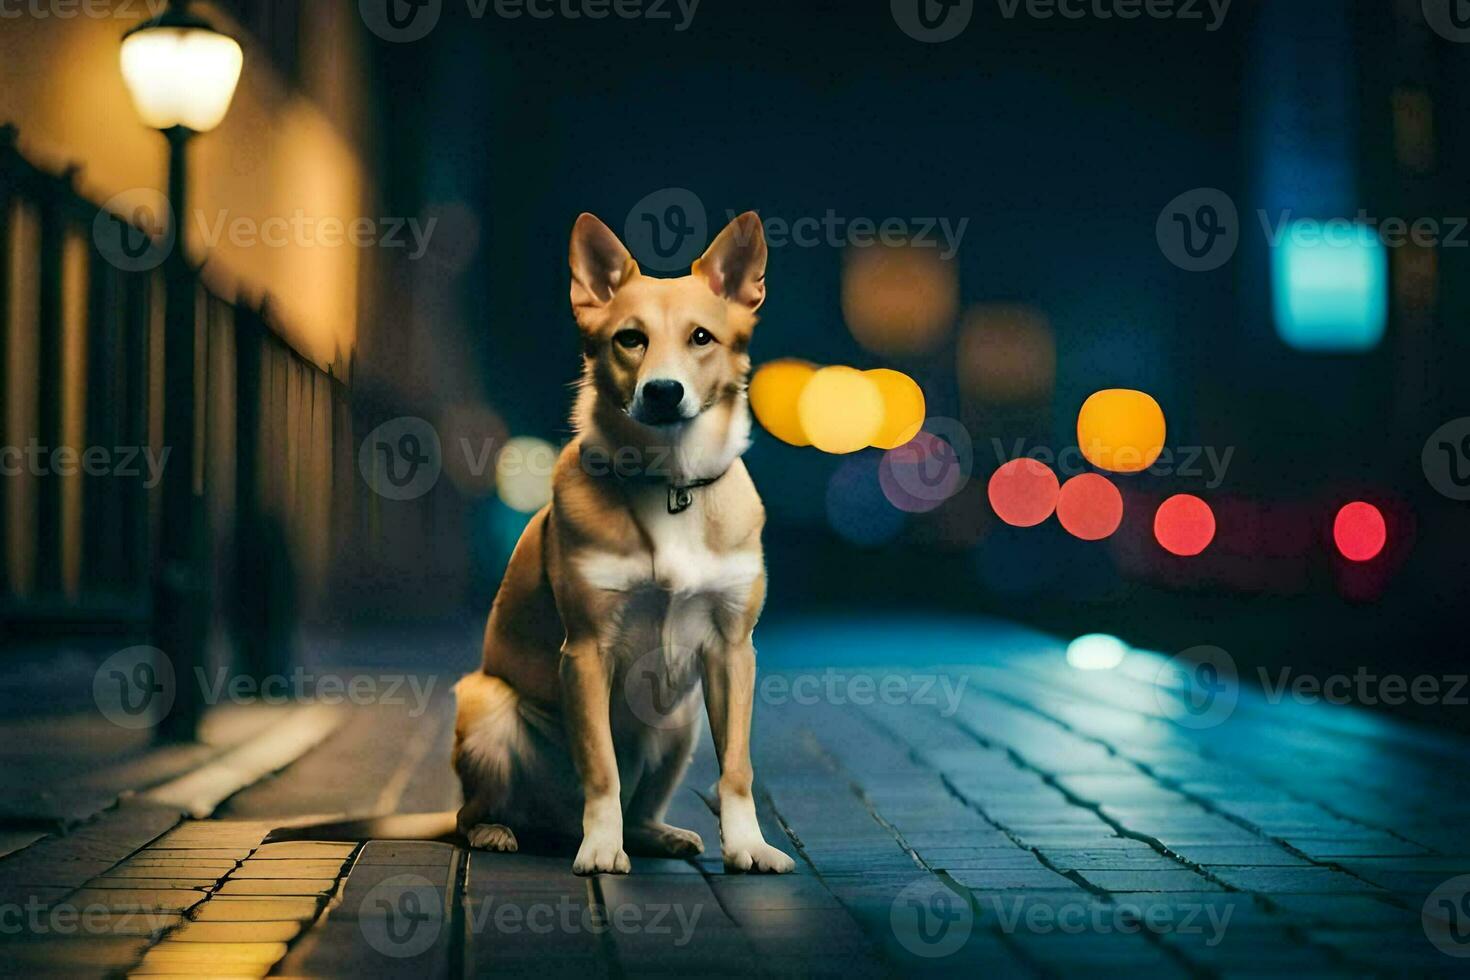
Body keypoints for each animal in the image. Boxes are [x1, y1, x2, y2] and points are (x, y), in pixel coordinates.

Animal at [449, 213, 799, 875]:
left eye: (701, 337)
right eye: (629, 339)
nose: (662, 391)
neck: (670, 483)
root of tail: (552, 825)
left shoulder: (733, 651)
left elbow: (736, 769)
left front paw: (748, 845)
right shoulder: (585, 652)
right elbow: (601, 770)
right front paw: (600, 849)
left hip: (680, 724)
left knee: (642, 806)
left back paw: (657, 835)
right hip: (485, 706)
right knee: (471, 812)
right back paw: (500, 832)